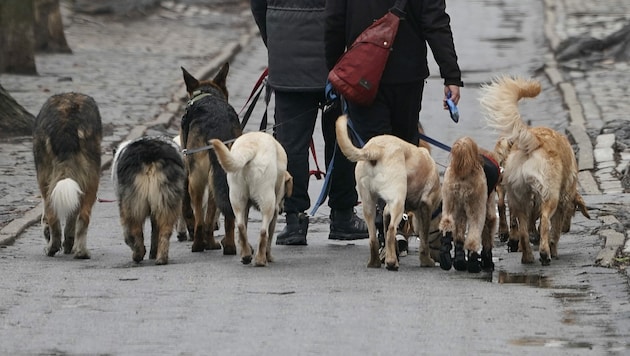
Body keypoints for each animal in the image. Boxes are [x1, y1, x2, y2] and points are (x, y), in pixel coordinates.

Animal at [32, 92, 102, 258]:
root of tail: (67, 122)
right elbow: (72, 215)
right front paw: (69, 244)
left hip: (44, 178)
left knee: (52, 214)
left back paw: (52, 247)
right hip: (92, 177)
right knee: (84, 216)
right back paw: (81, 252)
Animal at [112, 136, 185, 264]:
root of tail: (150, 156)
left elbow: (128, 233)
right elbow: (154, 232)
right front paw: (153, 253)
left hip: (132, 202)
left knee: (135, 230)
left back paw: (138, 254)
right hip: (166, 198)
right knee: (165, 230)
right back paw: (161, 258)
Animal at [183, 63, 244, 253]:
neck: (207, 94)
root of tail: (215, 127)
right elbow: (211, 214)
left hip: (196, 181)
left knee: (200, 220)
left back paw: (198, 244)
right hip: (223, 178)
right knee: (225, 217)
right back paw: (229, 245)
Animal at [336, 115, 444, 272]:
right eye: (442, 235)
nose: (440, 258)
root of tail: (375, 150)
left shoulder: (387, 209)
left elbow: (386, 233)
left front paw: (388, 253)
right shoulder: (426, 206)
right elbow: (423, 240)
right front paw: (426, 260)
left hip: (368, 203)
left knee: (374, 238)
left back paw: (375, 262)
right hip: (397, 201)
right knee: (392, 230)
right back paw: (392, 263)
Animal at [484, 74, 592, 264]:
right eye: (573, 211)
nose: (568, 229)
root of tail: (532, 139)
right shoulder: (561, 201)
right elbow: (552, 230)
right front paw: (552, 248)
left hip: (517, 196)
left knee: (518, 223)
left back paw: (524, 253)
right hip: (549, 195)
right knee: (544, 222)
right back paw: (544, 253)